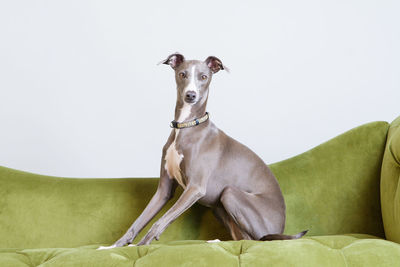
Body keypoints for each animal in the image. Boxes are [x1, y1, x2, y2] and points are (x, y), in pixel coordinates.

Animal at [99, 53, 306, 250]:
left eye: (204, 77)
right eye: (182, 74)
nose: (191, 95)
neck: (187, 126)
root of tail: (281, 227)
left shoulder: (195, 188)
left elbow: (160, 221)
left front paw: (140, 246)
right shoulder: (164, 190)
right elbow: (139, 221)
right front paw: (112, 246)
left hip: (230, 194)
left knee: (255, 240)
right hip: (219, 207)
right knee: (243, 238)